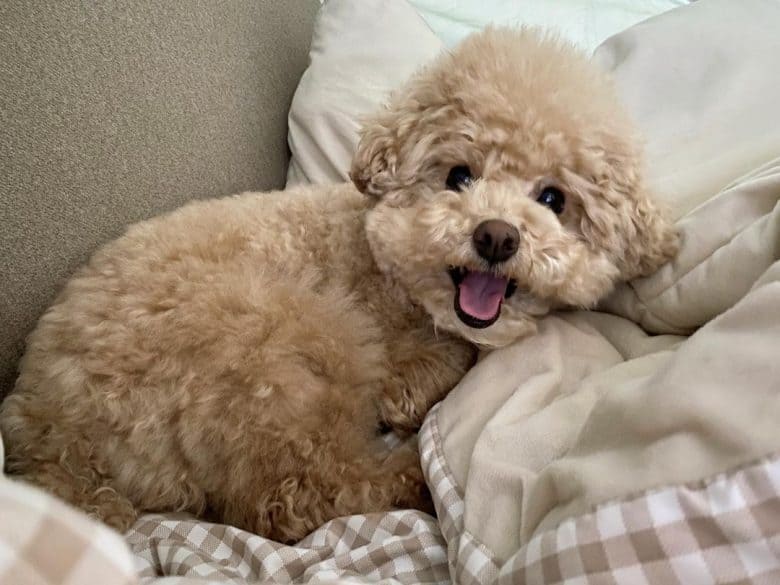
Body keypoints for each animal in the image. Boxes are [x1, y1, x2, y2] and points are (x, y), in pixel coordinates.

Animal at [0, 26, 676, 540]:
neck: (386, 270)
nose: (496, 237)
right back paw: (413, 479)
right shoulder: (395, 352)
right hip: (281, 343)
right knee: (296, 495)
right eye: (458, 176)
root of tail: (48, 434)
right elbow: (426, 372)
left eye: (553, 199)